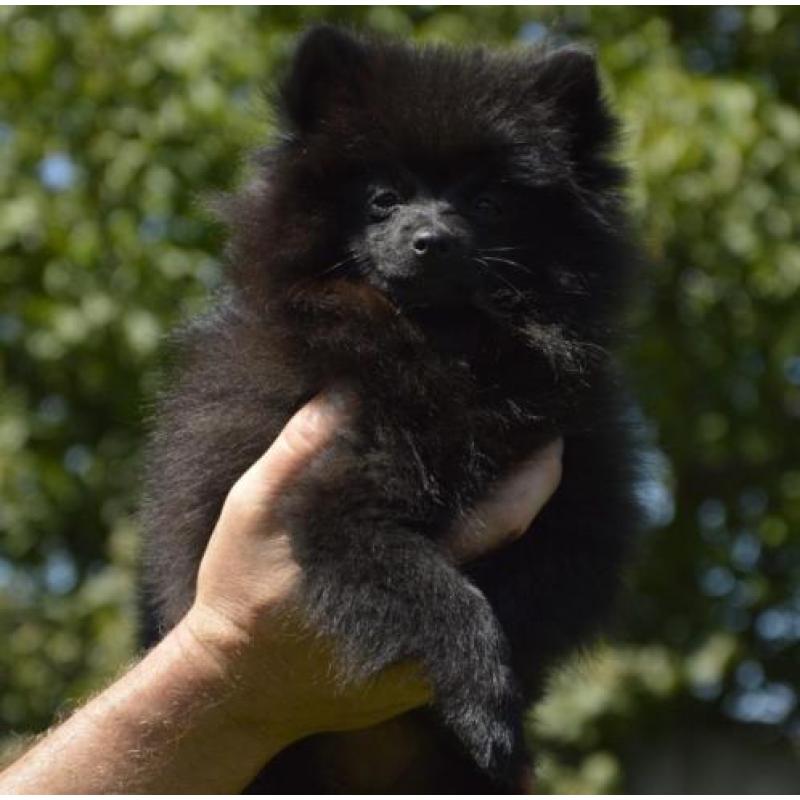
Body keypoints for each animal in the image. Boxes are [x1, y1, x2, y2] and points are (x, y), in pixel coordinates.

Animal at [142, 25, 644, 792]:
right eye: (382, 198)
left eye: (489, 202)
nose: (430, 239)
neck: (442, 345)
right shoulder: (330, 494)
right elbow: (437, 588)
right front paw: (482, 695)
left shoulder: (580, 490)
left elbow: (533, 588)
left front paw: (497, 709)